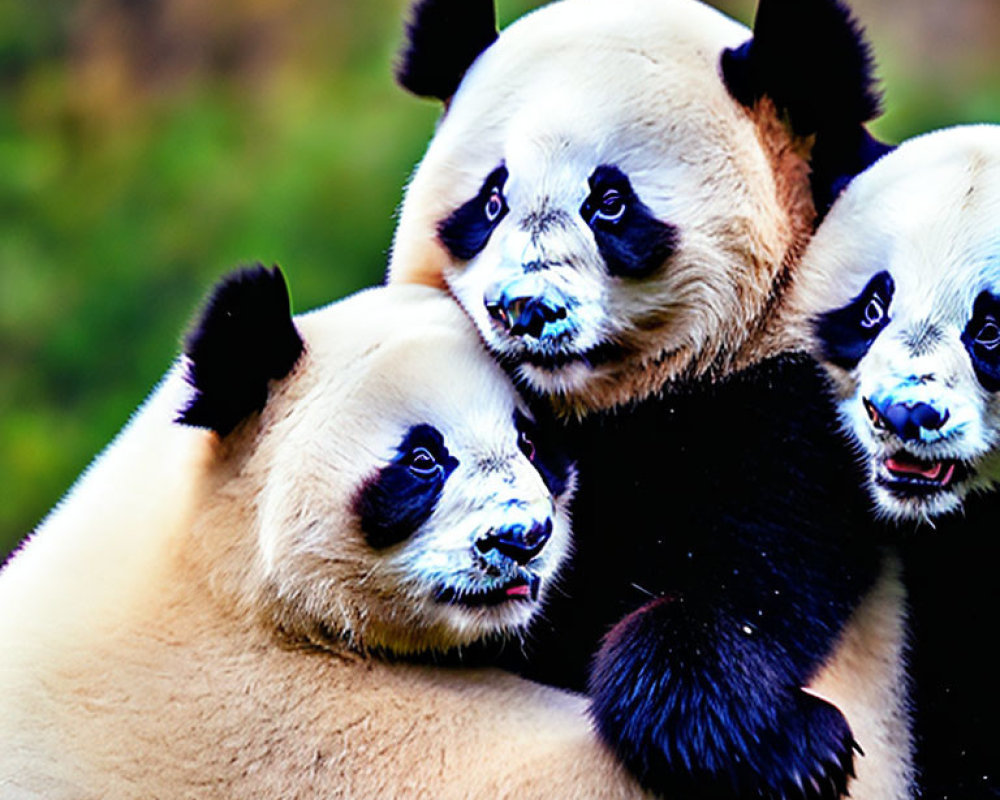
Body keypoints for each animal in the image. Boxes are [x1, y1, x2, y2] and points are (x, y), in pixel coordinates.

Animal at [388, 0, 916, 796]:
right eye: (492, 200)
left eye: (609, 203)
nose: (524, 308)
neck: (599, 407)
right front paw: (793, 744)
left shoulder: (791, 408)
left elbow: (746, 583)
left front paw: (789, 747)